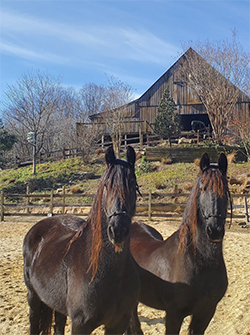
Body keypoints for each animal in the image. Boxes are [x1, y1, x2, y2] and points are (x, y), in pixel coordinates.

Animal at [23, 147, 141, 335]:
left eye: (132, 184)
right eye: (106, 185)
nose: (118, 230)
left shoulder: (118, 324)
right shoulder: (80, 325)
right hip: (33, 297)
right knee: (34, 321)